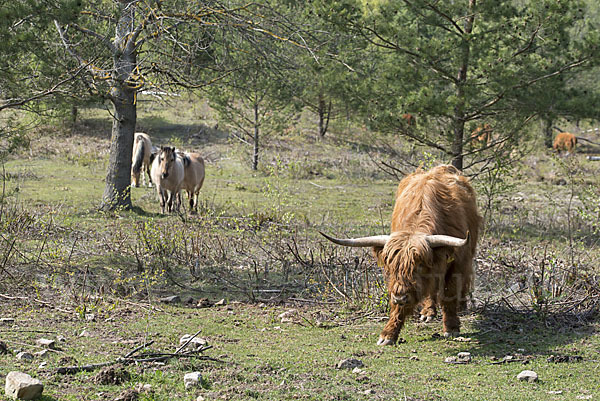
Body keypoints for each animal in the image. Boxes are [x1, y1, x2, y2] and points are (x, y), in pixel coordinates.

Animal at [322, 164, 480, 346]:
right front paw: (388, 334)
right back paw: (428, 312)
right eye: (391, 267)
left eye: (419, 265)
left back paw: (461, 305)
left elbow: (449, 294)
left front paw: (452, 327)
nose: (400, 297)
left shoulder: (457, 263)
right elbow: (399, 306)